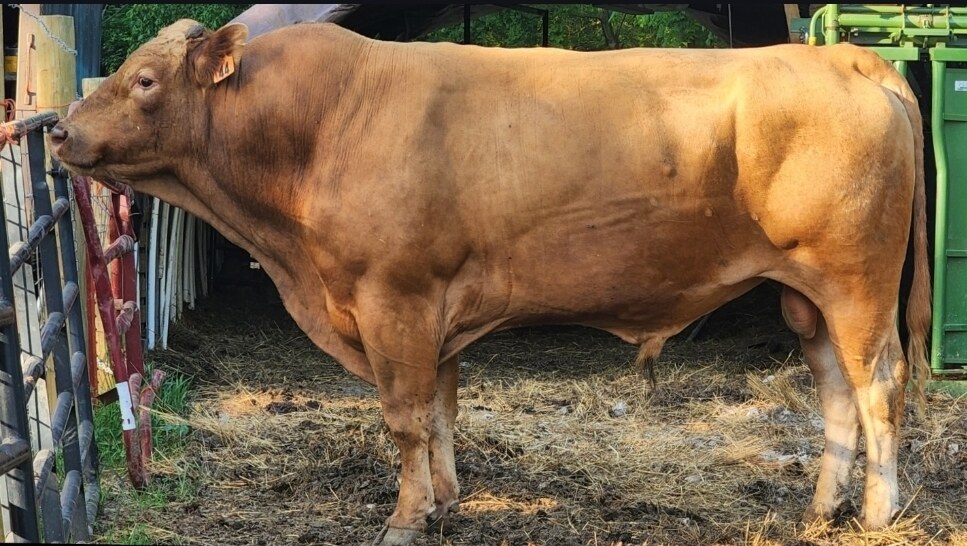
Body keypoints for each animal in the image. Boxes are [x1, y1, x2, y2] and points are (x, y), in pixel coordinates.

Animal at [50, 19, 930, 546]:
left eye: (144, 82)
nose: (58, 131)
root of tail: (836, 54)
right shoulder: (433, 309)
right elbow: (441, 411)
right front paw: (443, 502)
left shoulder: (393, 299)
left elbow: (405, 418)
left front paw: (404, 520)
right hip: (807, 298)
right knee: (834, 391)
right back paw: (819, 508)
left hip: (854, 283)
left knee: (879, 386)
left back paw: (877, 511)